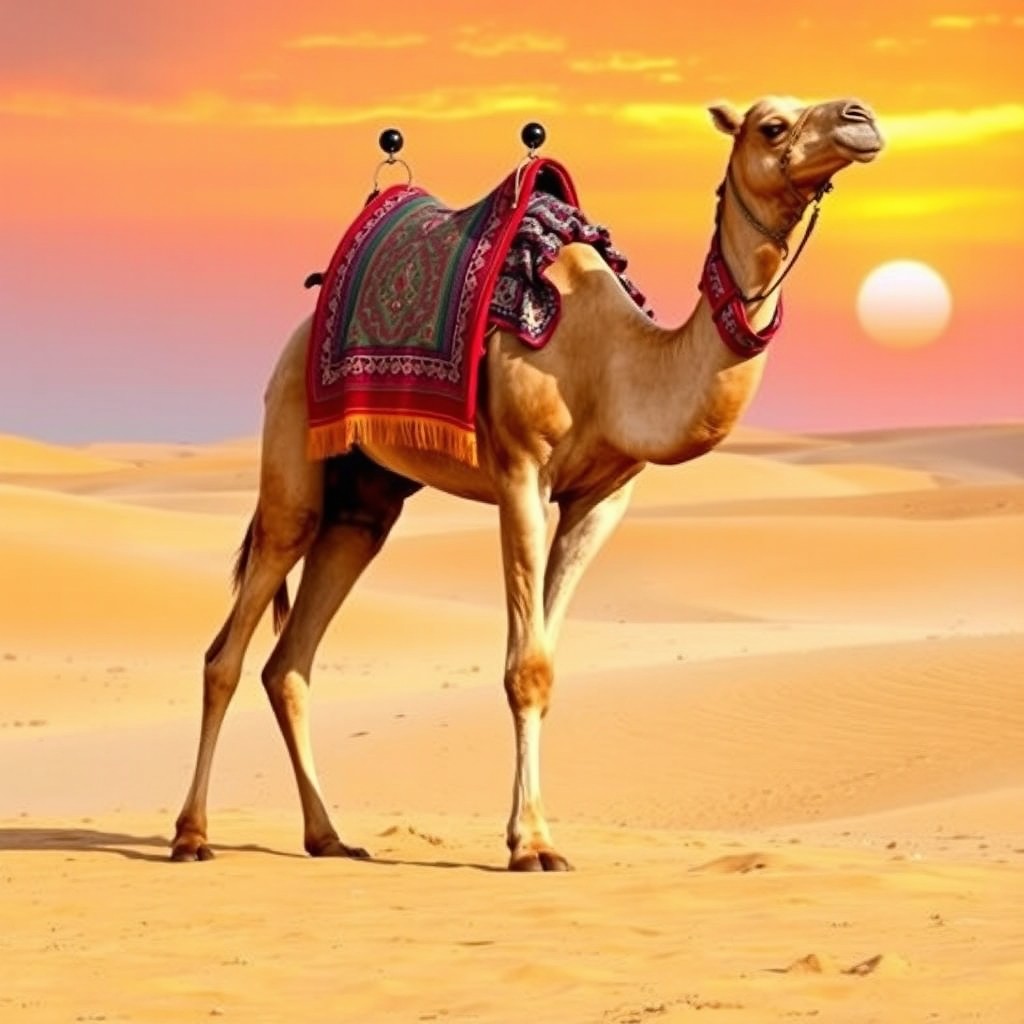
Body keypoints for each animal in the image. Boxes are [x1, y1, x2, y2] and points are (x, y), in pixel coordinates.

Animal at [170, 95, 883, 870]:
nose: (861, 118)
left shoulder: (601, 499)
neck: (615, 362)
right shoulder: (521, 472)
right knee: (228, 650)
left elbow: (546, 660)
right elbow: (526, 668)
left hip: (365, 503)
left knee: (290, 661)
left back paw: (329, 837)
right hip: (292, 451)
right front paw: (534, 846)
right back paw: (191, 835)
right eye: (770, 125)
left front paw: (531, 835)